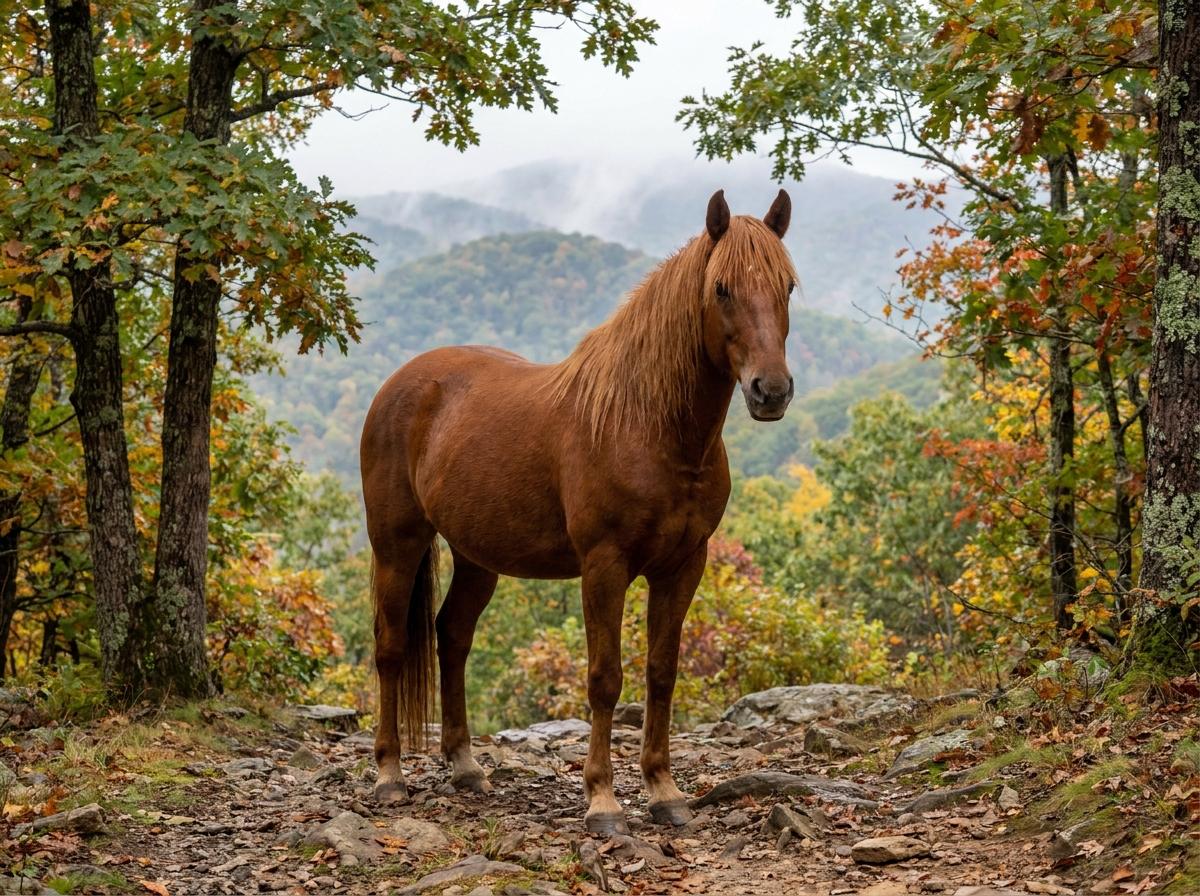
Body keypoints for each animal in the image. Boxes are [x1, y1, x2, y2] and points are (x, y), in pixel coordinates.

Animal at [360, 189, 796, 834]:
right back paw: (389, 775)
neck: (645, 424)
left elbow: (661, 672)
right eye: (721, 289)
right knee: (391, 647)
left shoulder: (684, 566)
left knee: (452, 637)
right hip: (398, 544)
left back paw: (466, 767)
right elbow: (605, 678)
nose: (771, 391)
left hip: (476, 557)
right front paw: (603, 802)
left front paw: (664, 792)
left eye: (787, 285)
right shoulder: (604, 566)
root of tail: (403, 382)